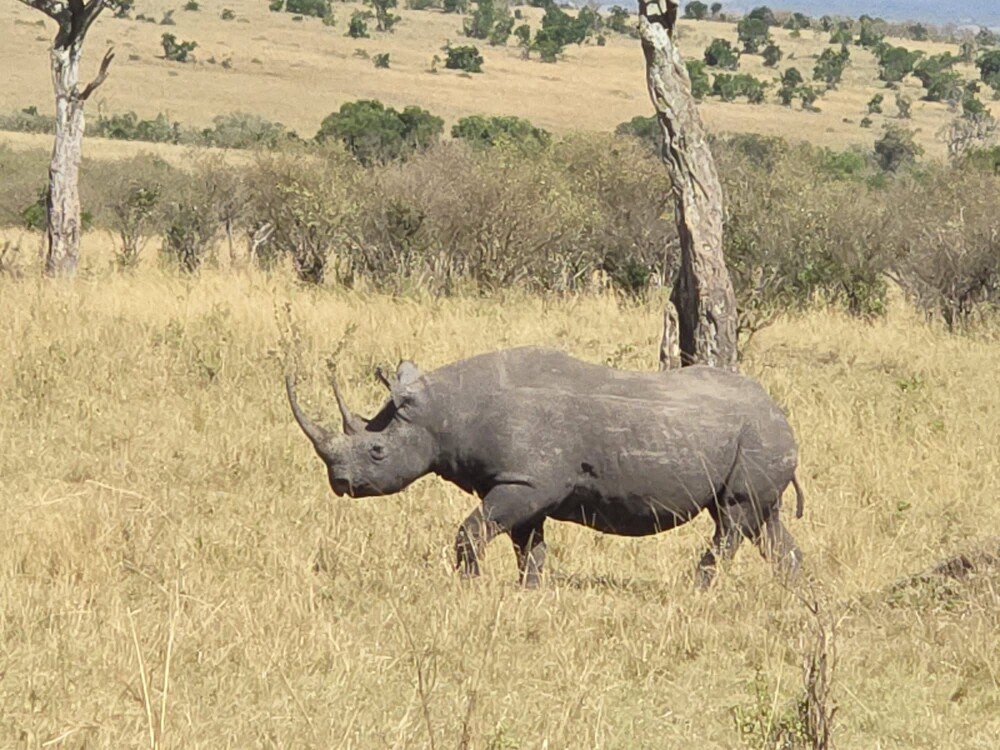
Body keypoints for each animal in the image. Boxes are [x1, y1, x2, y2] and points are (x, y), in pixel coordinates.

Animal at [286, 346, 804, 588]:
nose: (340, 483)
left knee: (734, 518)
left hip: (757, 436)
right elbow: (528, 547)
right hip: (754, 438)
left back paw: (697, 588)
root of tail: (779, 411)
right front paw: (528, 591)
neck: (446, 411)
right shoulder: (521, 482)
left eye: (377, 452)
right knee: (762, 521)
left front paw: (470, 585)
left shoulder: (527, 481)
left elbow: (471, 531)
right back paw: (797, 594)